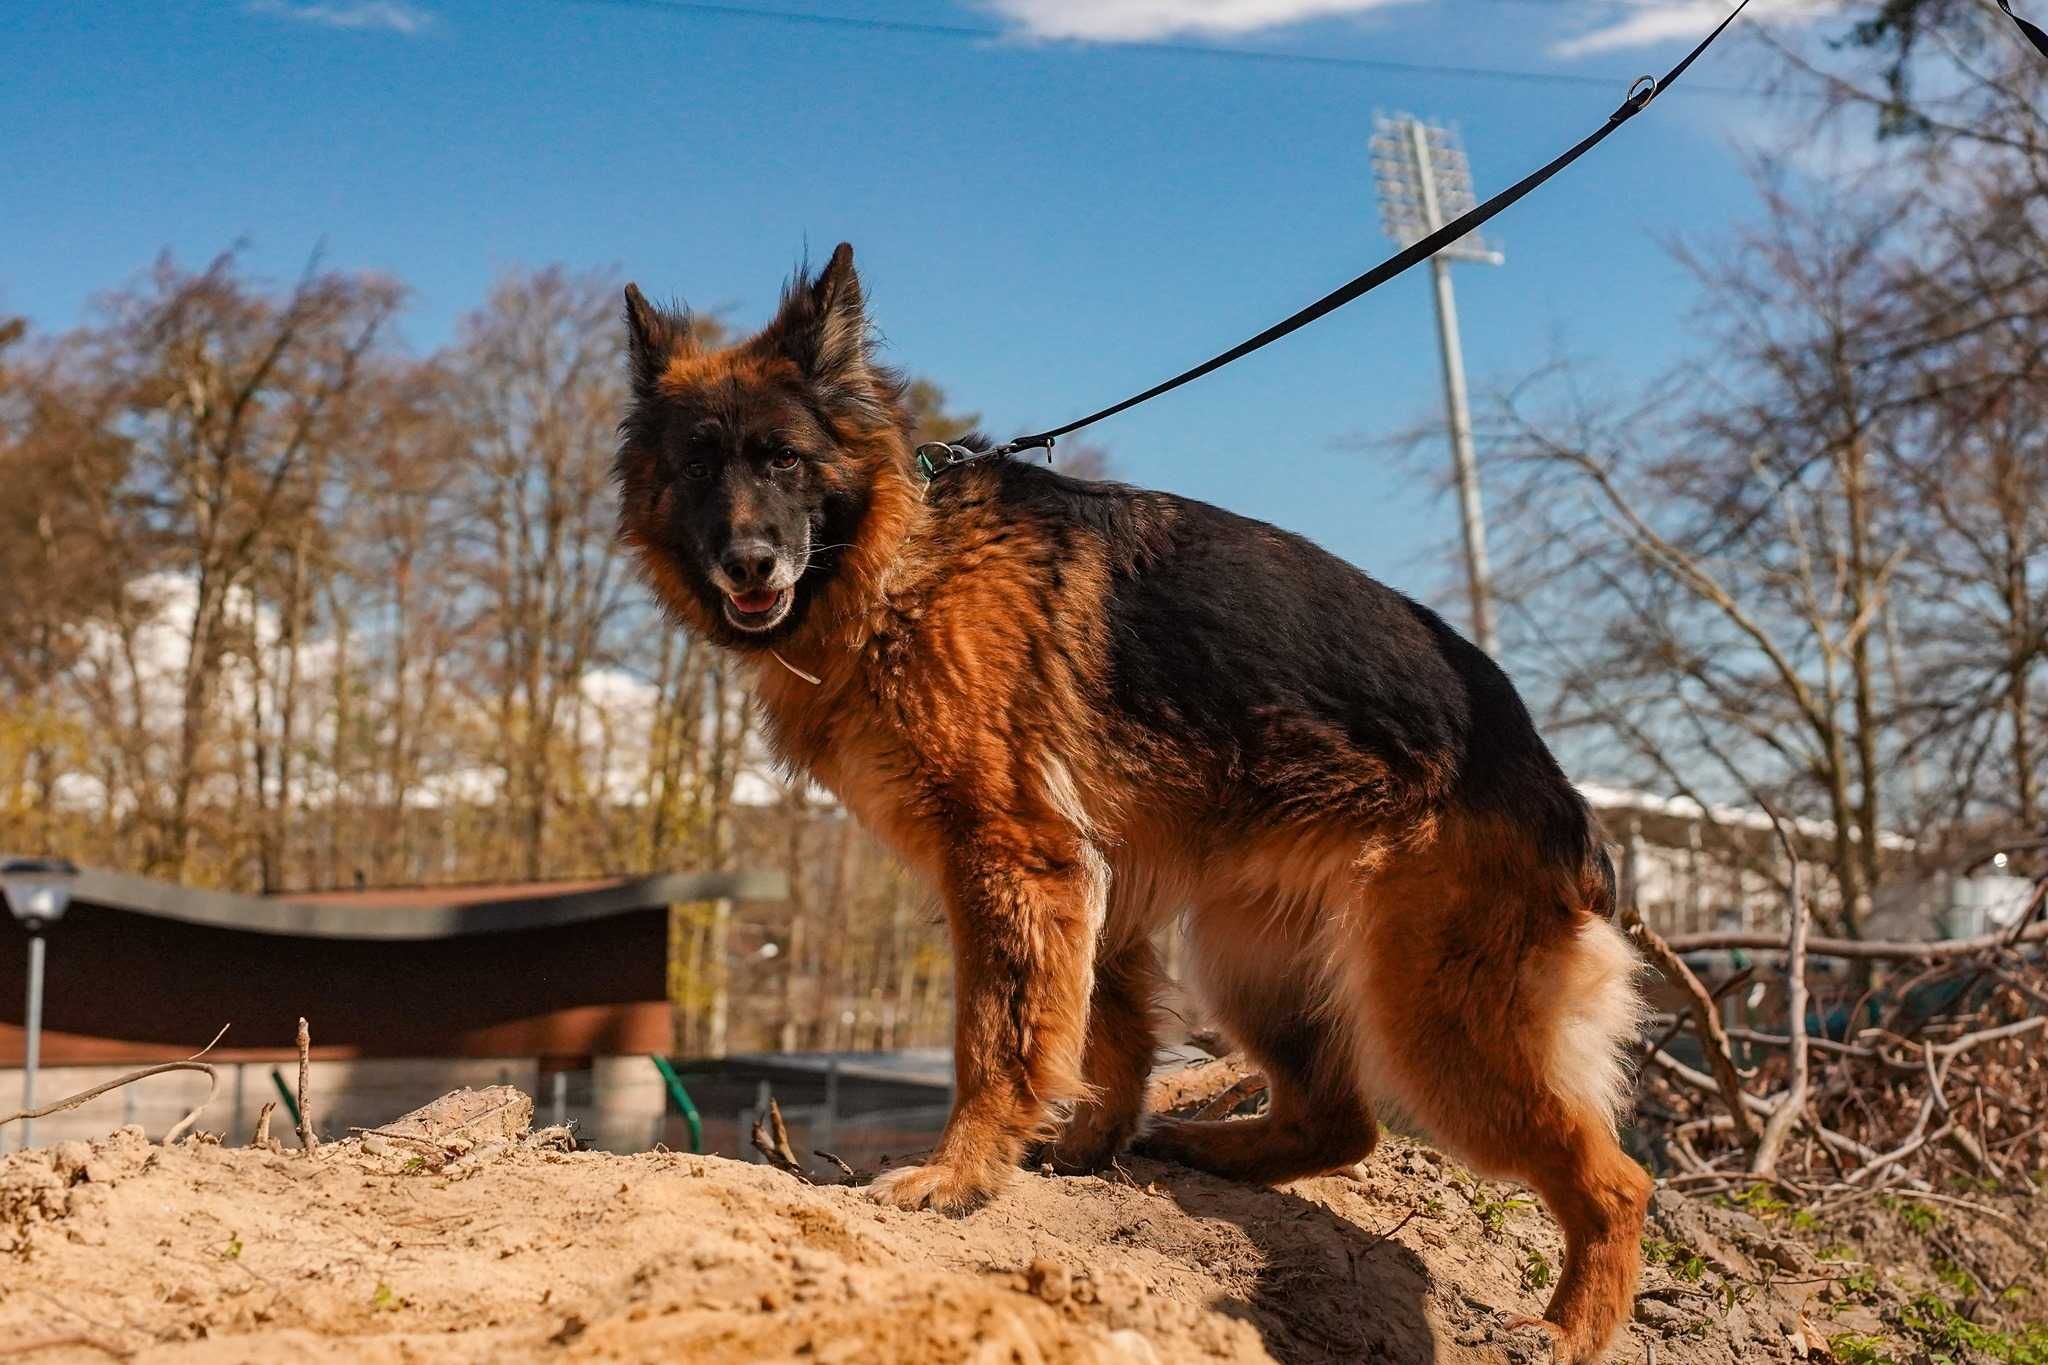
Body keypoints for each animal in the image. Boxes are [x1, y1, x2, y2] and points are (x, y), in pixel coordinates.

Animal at [614, 248, 1654, 1365]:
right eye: (698, 469)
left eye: (783, 461)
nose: (748, 563)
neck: (899, 556)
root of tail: (1557, 793)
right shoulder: (1092, 884)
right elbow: (1100, 1036)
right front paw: (1082, 1145)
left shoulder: (1013, 860)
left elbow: (996, 1037)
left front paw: (962, 1174)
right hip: (1251, 961)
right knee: (1343, 1124)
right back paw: (1209, 1148)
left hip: (1433, 1021)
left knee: (1614, 1180)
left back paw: (1568, 1329)